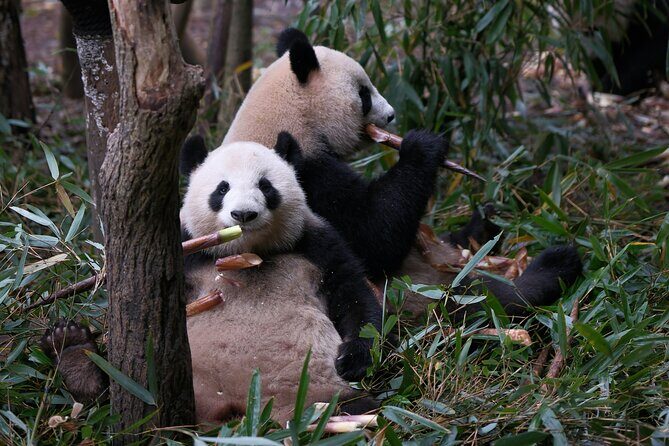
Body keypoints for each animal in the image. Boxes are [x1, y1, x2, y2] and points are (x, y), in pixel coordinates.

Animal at [41, 136, 383, 424]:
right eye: (222, 189)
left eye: (266, 186)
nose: (243, 215)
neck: (246, 254)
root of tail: (238, 410)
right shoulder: (184, 248)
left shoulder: (314, 244)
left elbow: (353, 295)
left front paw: (352, 358)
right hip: (168, 388)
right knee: (116, 400)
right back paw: (73, 352)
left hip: (319, 396)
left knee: (362, 409)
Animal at [216, 28, 582, 318]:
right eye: (364, 94)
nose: (391, 115)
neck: (289, 117)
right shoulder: (302, 177)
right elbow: (373, 239)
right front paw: (423, 146)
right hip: (423, 292)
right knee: (483, 299)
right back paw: (554, 265)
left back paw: (488, 224)